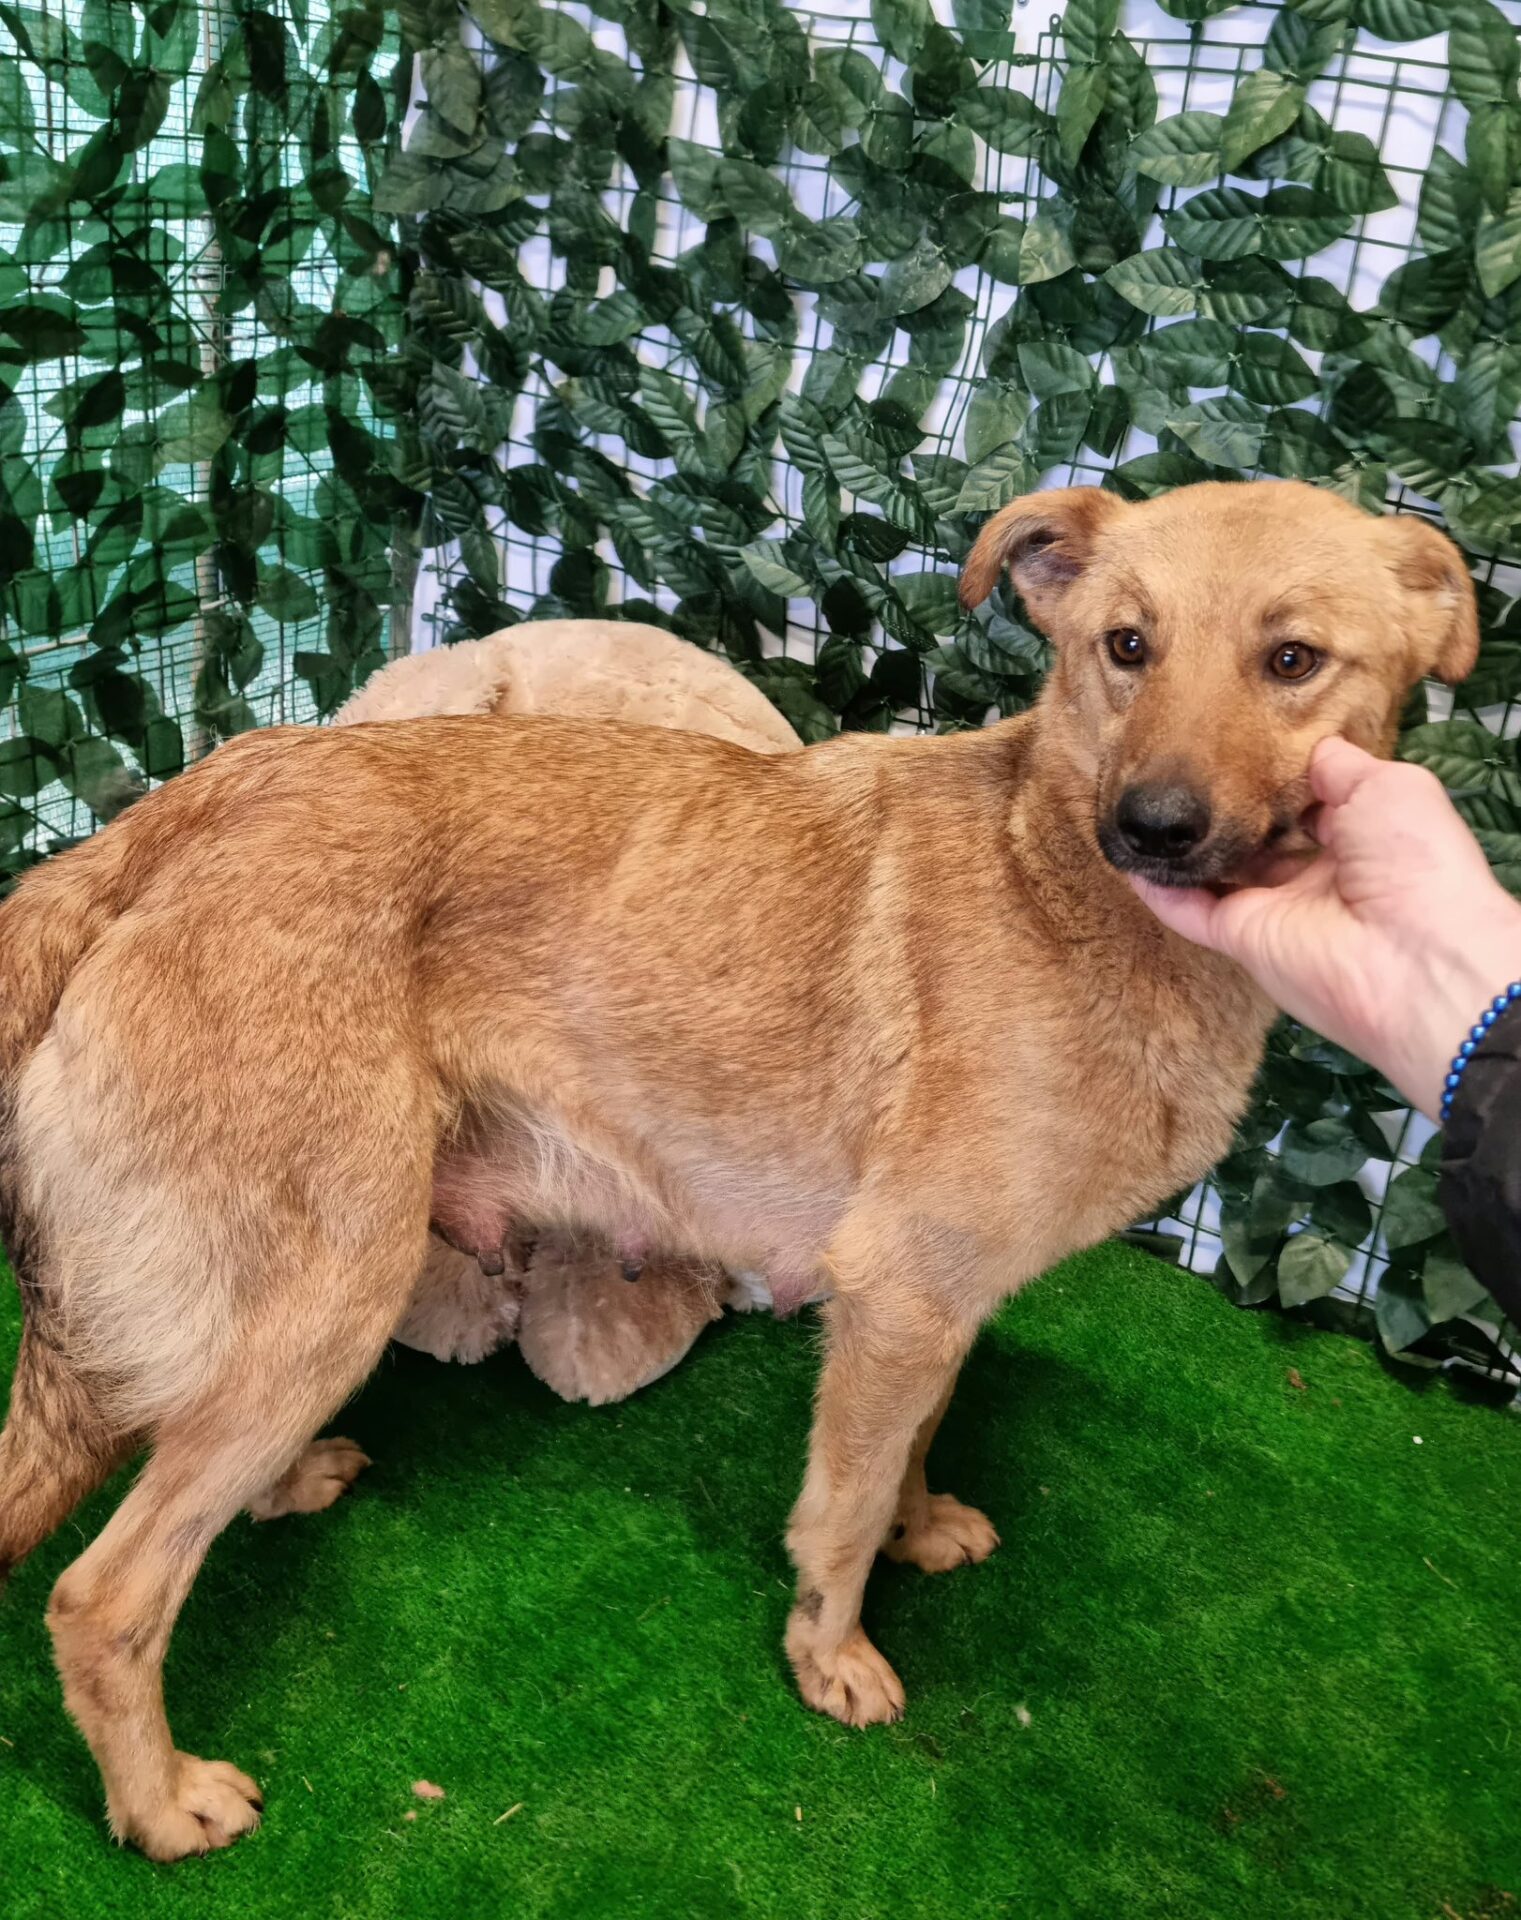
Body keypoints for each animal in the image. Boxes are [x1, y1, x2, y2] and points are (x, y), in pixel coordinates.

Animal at [0, 482, 1476, 1858]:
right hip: (334, 1288)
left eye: (1292, 661)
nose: (1154, 825)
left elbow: (912, 1447)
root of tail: (166, 818)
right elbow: (841, 1509)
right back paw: (160, 1803)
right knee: (102, 1594)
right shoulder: (899, 1293)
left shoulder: (930, 1311)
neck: (1052, 871)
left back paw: (284, 1487)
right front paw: (833, 1656)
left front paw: (919, 1528)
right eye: (1126, 646)